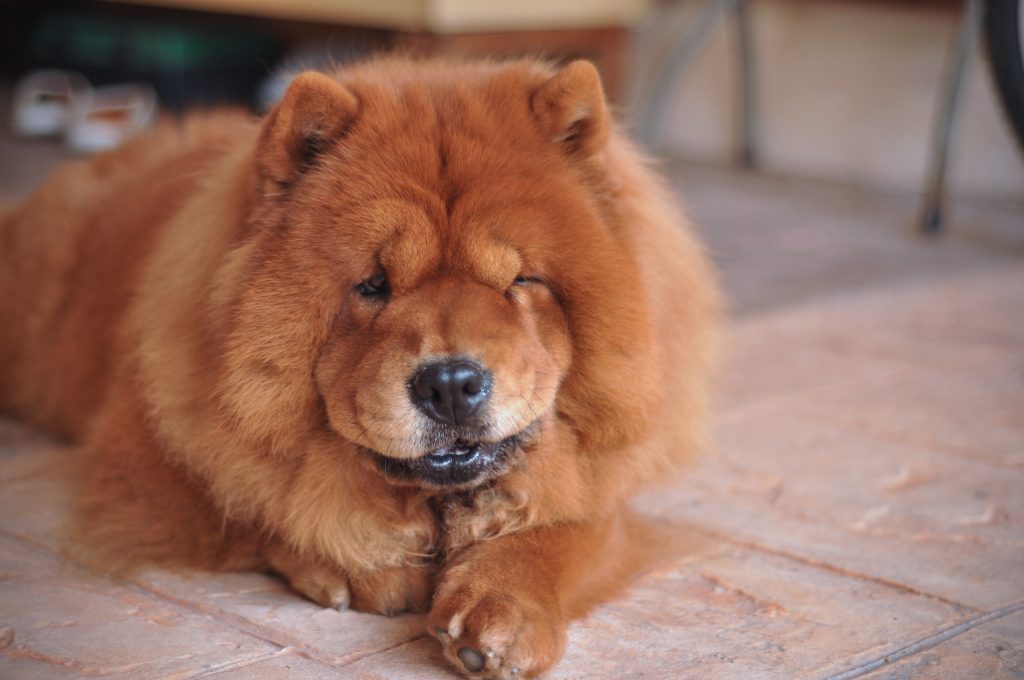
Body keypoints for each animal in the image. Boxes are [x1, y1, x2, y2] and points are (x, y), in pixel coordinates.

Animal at [0, 59, 720, 680]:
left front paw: (503, 606)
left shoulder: (601, 484)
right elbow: (263, 501)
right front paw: (358, 561)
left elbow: (575, 523)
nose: (450, 385)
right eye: (373, 286)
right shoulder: (147, 460)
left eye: (521, 281)